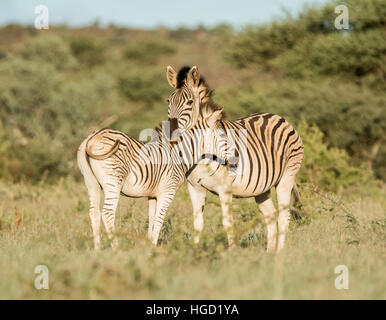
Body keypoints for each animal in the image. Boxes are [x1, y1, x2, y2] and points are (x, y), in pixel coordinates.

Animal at [166, 65, 304, 252]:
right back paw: (269, 253)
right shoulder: (195, 188)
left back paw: (279, 253)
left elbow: (228, 223)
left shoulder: (225, 189)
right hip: (262, 188)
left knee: (283, 216)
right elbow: (197, 224)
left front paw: (231, 253)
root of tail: (278, 117)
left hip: (286, 178)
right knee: (270, 216)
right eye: (168, 101)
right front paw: (195, 253)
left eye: (189, 102)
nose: (171, 134)